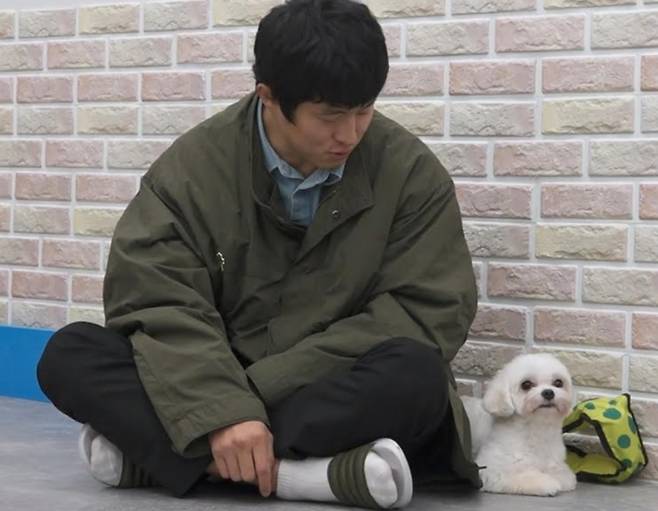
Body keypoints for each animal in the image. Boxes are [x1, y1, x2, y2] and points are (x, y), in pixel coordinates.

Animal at [462, 353, 577, 496]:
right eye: (526, 384)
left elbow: (565, 476)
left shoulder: (556, 464)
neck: (536, 430)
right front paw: (545, 483)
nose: (548, 392)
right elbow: (525, 476)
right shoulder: (488, 470)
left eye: (558, 382)